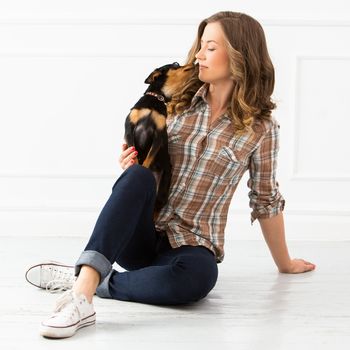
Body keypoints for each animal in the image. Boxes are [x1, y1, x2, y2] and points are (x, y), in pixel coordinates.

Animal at [123, 61, 194, 217]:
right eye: (176, 64)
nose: (195, 63)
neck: (156, 98)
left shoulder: (158, 135)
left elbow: (148, 159)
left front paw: (143, 169)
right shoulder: (129, 130)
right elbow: (134, 153)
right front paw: (135, 165)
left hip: (162, 193)